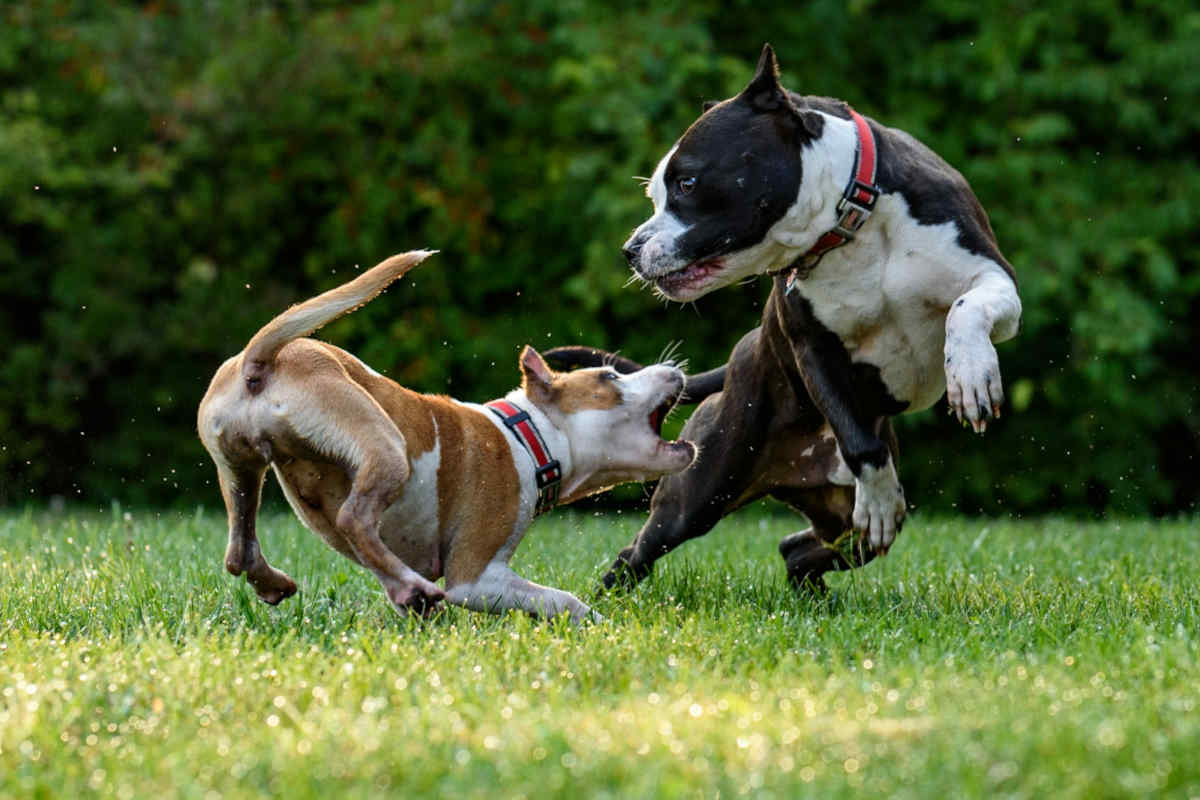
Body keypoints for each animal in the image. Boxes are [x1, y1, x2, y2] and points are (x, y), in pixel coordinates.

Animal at [196, 253, 696, 623]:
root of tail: (259, 362)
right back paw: (412, 587)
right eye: (609, 377)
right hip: (383, 443)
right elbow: (563, 600)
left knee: (240, 550)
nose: (674, 369)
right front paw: (599, 626)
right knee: (353, 518)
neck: (528, 435)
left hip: (240, 468)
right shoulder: (476, 578)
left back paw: (286, 583)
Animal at [549, 45, 1017, 594]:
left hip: (838, 521)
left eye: (687, 182)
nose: (630, 249)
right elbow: (860, 442)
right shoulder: (812, 347)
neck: (850, 223)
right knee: (641, 550)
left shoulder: (994, 277)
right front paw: (880, 497)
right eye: (656, 196)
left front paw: (972, 375)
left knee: (801, 548)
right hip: (700, 490)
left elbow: (967, 310)